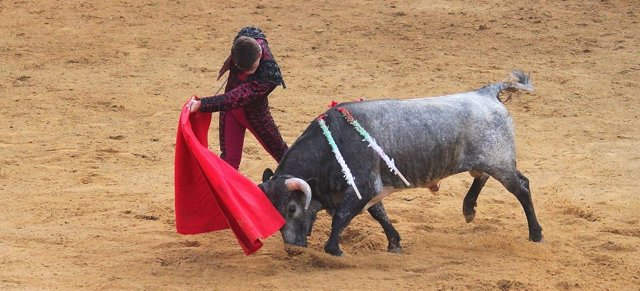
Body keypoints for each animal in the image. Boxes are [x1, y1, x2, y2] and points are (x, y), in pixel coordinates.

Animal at [258, 71, 544, 258]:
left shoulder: (364, 186)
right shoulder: (372, 189)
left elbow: (342, 217)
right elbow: (379, 214)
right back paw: (468, 209)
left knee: (521, 188)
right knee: (482, 176)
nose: (292, 248)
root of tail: (486, 93)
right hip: (486, 160)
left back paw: (536, 234)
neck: (331, 146)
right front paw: (394, 243)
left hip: (500, 163)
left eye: (292, 208)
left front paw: (333, 249)